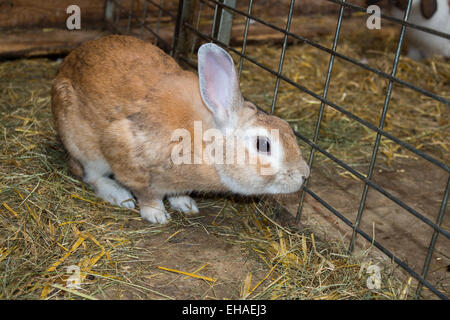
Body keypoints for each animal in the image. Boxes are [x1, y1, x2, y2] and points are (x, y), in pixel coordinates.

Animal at [50, 35, 310, 224]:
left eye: (287, 127)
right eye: (263, 144)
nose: (304, 175)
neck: (206, 142)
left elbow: (175, 192)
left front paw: (186, 204)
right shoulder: (130, 161)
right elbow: (147, 194)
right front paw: (157, 215)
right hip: (85, 148)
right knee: (91, 176)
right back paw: (119, 196)